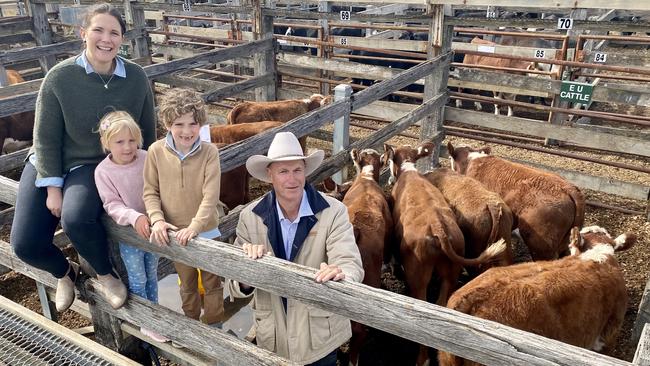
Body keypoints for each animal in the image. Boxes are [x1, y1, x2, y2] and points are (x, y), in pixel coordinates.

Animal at [384, 142, 506, 366]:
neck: (409, 171)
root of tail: (438, 228)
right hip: (451, 272)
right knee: (441, 305)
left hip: (418, 274)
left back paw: (422, 359)